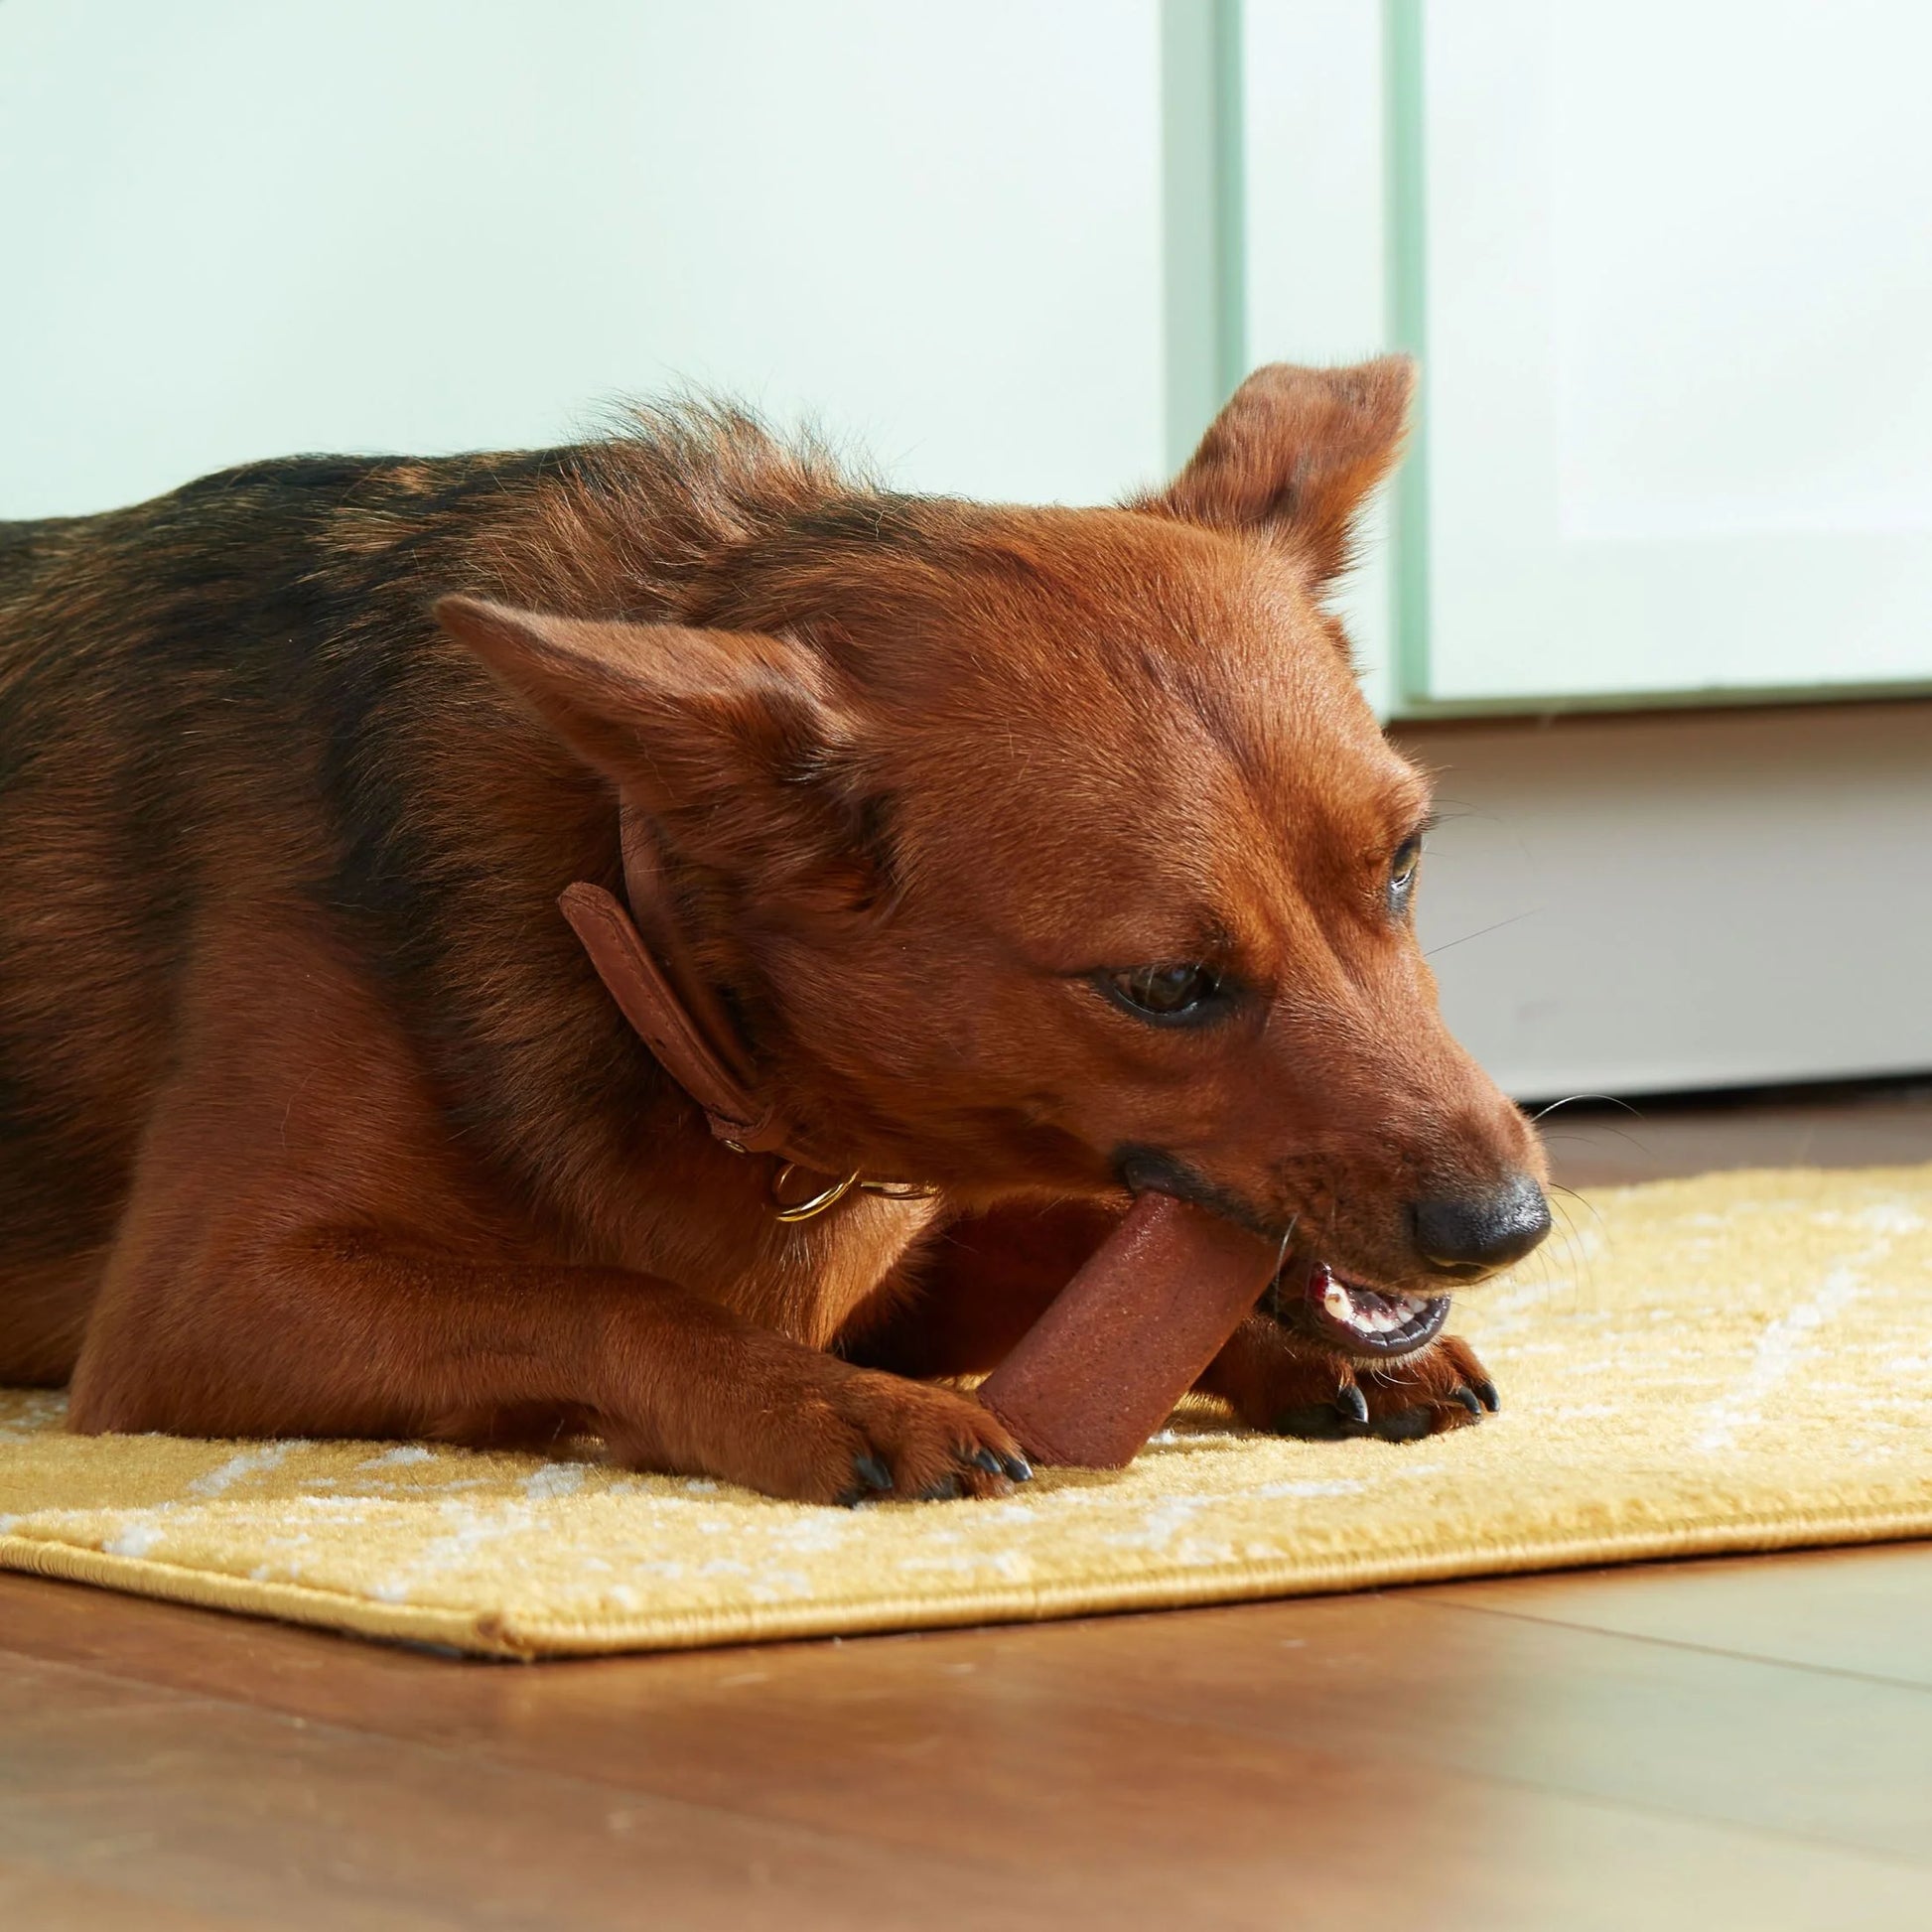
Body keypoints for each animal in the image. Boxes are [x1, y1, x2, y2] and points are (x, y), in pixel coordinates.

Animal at [0, 364, 1538, 1506]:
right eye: (1164, 985)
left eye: (1401, 864)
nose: (1511, 1225)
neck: (626, 925)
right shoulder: (202, 1308)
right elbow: (609, 1296)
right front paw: (828, 1402)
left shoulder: (913, 1251)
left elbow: (1069, 1235)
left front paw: (1288, 1336)